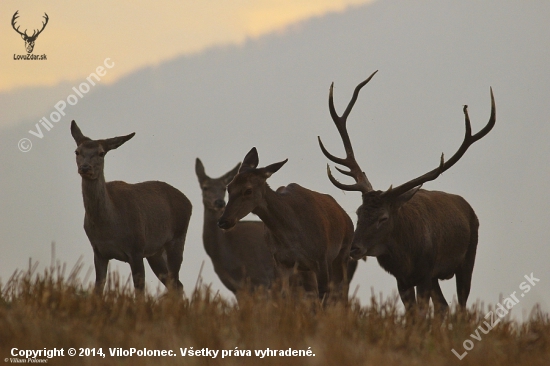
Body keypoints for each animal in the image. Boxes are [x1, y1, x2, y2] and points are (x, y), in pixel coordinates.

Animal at [70, 121, 193, 294]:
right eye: (77, 151)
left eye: (101, 153)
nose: (85, 168)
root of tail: (188, 202)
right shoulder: (98, 252)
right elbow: (98, 289)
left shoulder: (136, 249)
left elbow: (139, 292)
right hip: (155, 252)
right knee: (176, 285)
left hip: (177, 238)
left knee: (175, 282)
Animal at [220, 147, 358, 302]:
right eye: (229, 187)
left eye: (248, 190)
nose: (224, 221)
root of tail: (346, 217)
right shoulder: (280, 261)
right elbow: (281, 297)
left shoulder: (322, 259)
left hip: (342, 255)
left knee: (341, 294)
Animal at [320, 71, 496, 312]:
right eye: (358, 212)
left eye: (383, 218)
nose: (354, 249)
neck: (406, 258)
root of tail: (467, 206)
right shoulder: (403, 280)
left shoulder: (425, 273)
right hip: (438, 276)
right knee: (444, 307)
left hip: (468, 258)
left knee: (461, 306)